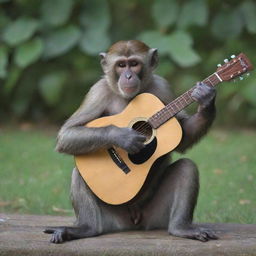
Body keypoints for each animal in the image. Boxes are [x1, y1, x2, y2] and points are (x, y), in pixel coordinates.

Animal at [44, 39, 218, 242]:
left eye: (134, 64)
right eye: (121, 65)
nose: (127, 76)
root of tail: (133, 221)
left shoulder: (163, 87)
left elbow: (183, 136)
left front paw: (206, 100)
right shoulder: (98, 91)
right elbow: (67, 134)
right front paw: (123, 136)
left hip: (156, 217)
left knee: (186, 167)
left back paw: (181, 228)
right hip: (112, 220)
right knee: (78, 173)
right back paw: (85, 229)